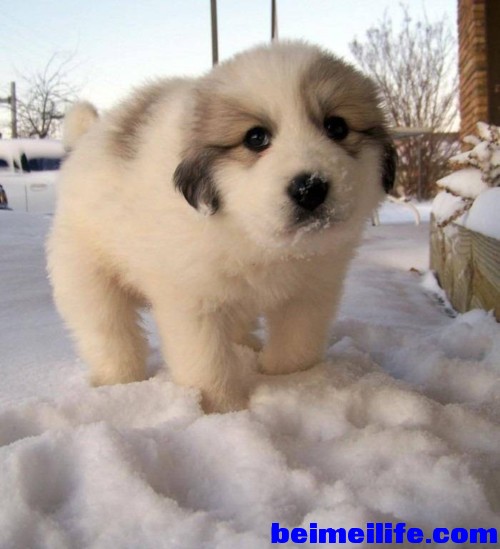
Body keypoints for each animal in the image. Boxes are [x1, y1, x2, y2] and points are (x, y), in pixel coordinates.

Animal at [47, 41, 395, 413]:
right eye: (256, 138)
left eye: (336, 127)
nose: (310, 188)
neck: (255, 238)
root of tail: (85, 140)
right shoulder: (192, 299)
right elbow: (207, 363)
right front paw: (222, 410)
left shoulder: (310, 292)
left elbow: (297, 345)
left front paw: (294, 384)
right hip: (87, 274)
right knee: (109, 331)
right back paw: (120, 382)